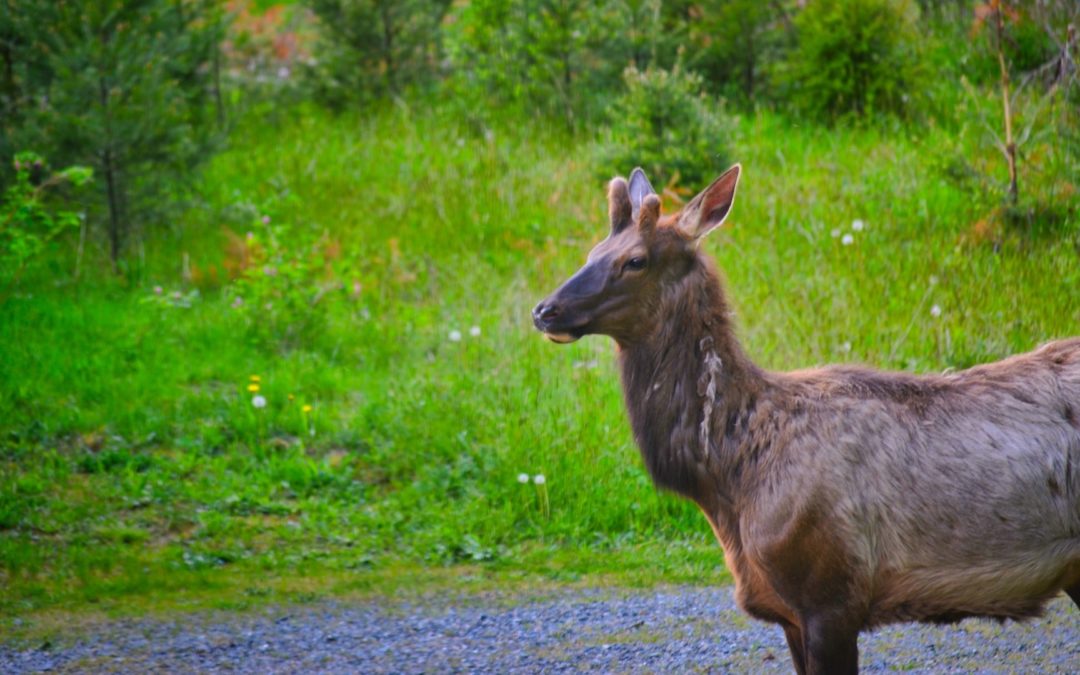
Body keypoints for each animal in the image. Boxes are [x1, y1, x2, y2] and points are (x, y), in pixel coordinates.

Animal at [531, 164, 1080, 673]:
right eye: (592, 253)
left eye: (635, 260)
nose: (545, 310)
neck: (731, 480)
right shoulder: (789, 614)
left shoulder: (831, 596)